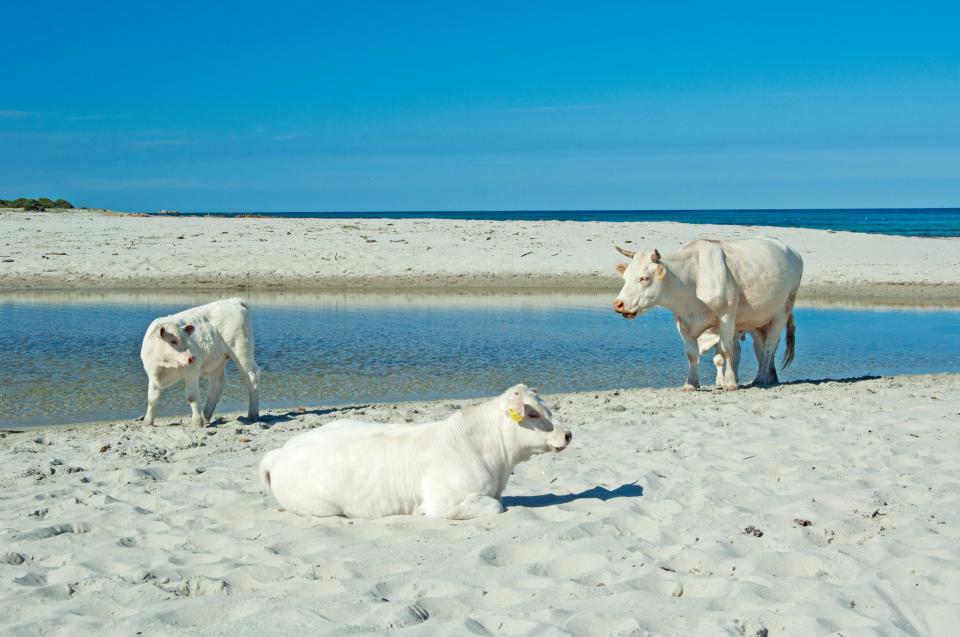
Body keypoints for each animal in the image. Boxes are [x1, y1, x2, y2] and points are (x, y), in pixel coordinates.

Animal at [139, 298, 258, 428]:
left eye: (188, 340)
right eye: (173, 341)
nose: (191, 357)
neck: (164, 364)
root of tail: (234, 301)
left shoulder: (191, 369)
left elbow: (191, 397)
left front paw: (197, 421)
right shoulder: (152, 374)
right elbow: (152, 399)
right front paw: (147, 422)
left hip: (242, 352)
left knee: (252, 378)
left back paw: (253, 415)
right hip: (217, 361)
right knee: (216, 384)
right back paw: (206, 416)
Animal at [256, 382, 568, 516]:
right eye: (532, 414)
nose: (567, 434)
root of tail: (279, 453)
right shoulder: (445, 502)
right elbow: (496, 506)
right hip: (319, 506)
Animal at [616, 237, 804, 388]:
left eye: (644, 278)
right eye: (625, 277)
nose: (618, 304)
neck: (692, 279)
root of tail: (790, 249)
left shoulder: (726, 317)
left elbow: (727, 350)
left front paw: (730, 383)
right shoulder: (682, 321)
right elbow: (692, 354)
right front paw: (691, 384)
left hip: (784, 308)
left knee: (770, 345)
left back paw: (762, 378)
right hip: (757, 319)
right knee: (760, 346)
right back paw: (769, 377)